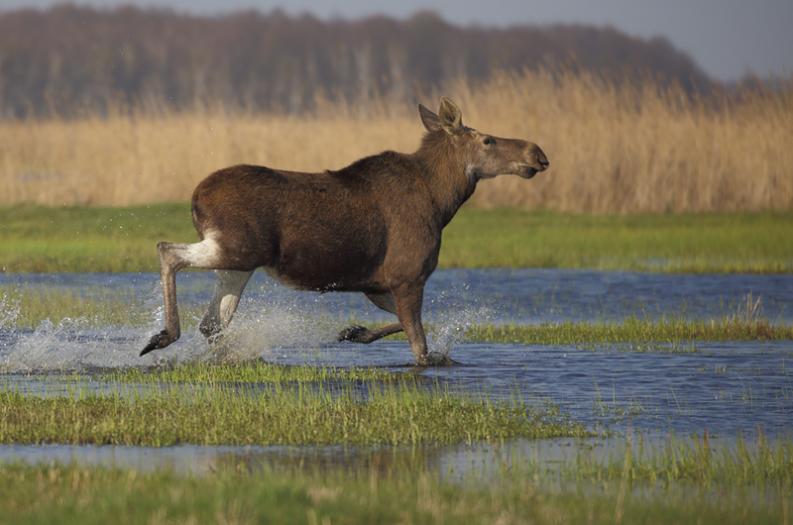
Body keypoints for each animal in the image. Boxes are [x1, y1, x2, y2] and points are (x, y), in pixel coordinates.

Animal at [142, 98, 548, 366]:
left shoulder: (377, 284)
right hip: (238, 247)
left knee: (211, 323)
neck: (443, 202)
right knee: (167, 250)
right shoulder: (408, 275)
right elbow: (420, 347)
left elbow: (415, 329)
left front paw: (355, 332)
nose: (538, 154)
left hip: (237, 264)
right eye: (488, 140)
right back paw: (163, 336)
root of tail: (196, 197)